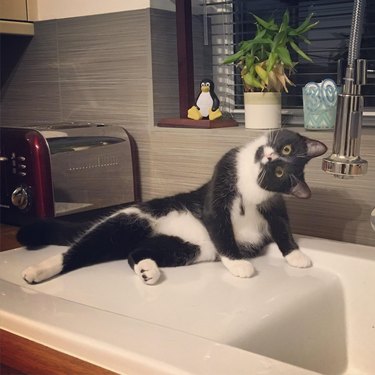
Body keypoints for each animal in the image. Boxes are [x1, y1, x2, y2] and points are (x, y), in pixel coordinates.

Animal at [19, 129, 328, 284]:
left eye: (280, 173)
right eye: (286, 149)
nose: (270, 156)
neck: (249, 179)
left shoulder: (273, 204)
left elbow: (282, 227)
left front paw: (296, 256)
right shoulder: (219, 186)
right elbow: (220, 226)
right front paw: (239, 263)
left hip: (187, 247)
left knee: (135, 252)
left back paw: (148, 270)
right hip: (132, 219)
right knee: (81, 248)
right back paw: (37, 270)